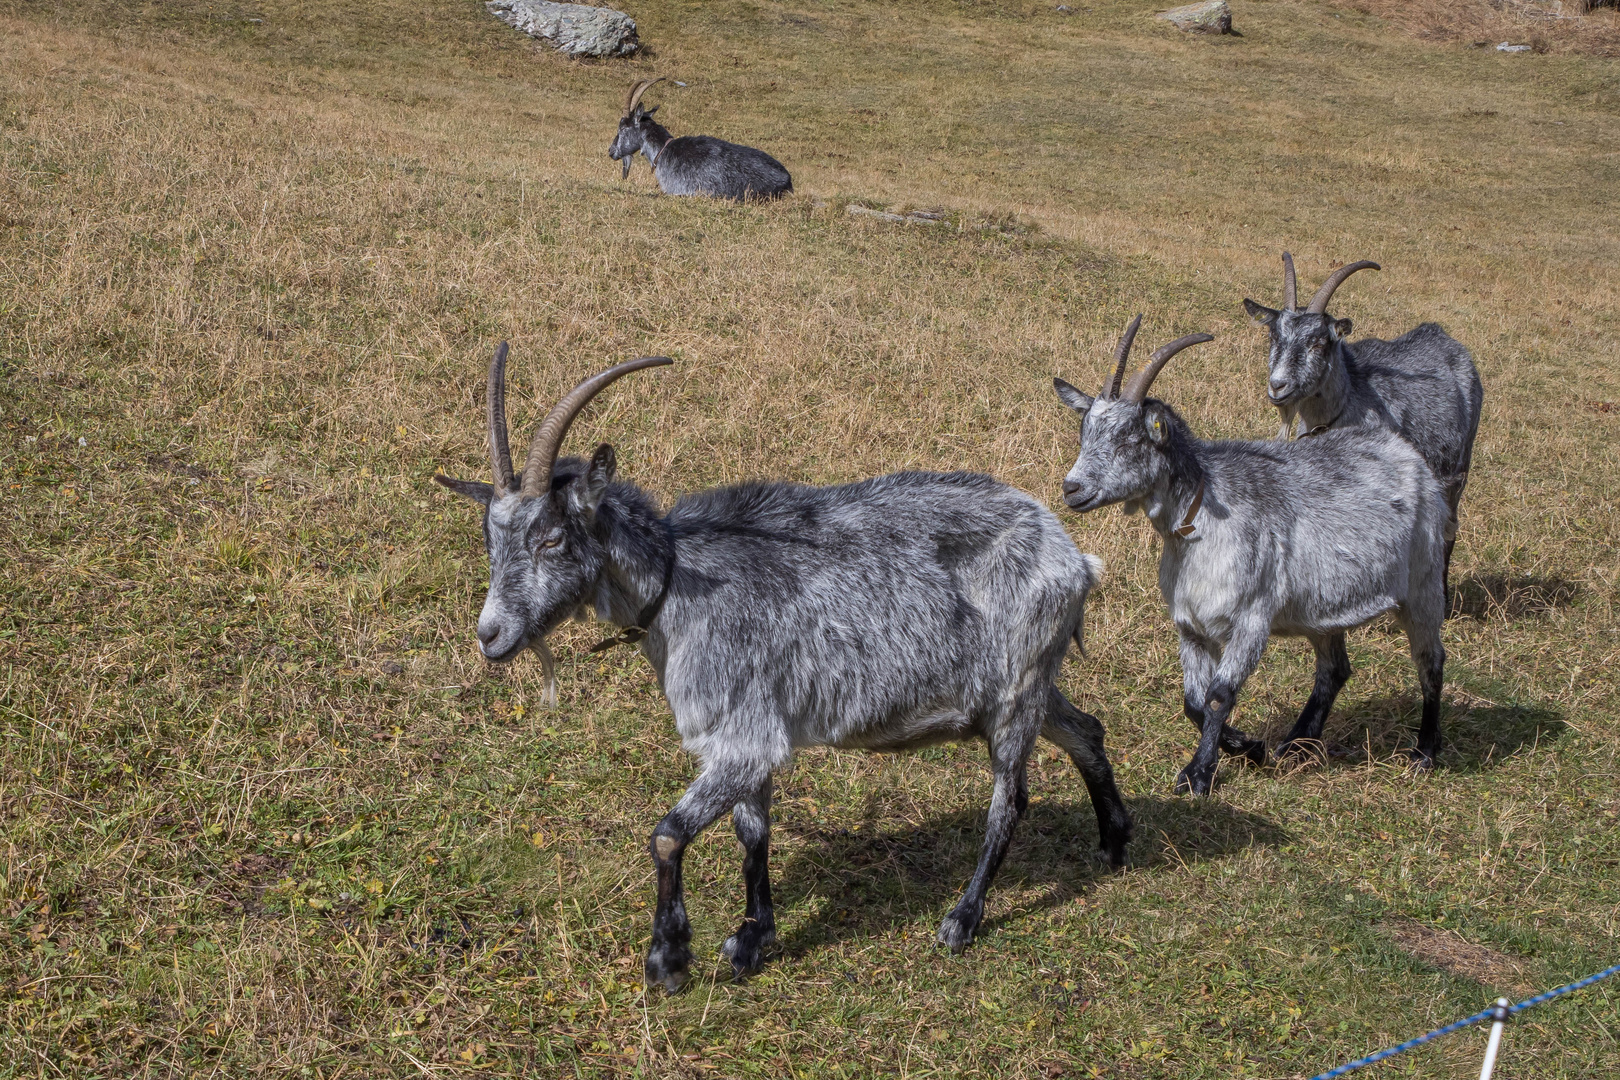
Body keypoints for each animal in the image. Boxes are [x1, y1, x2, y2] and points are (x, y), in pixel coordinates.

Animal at [1049, 314, 1458, 793]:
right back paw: (1295, 744)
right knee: (1334, 669)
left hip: (1423, 581)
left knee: (1430, 661)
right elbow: (1193, 702)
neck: (1203, 518)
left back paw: (1424, 752)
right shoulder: (1191, 625)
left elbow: (1218, 696)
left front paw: (1198, 775)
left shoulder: (1251, 619)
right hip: (1323, 609)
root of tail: (1407, 454)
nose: (1072, 488)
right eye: (1085, 433)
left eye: (1131, 440)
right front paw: (1251, 748)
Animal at [1244, 254, 1483, 579]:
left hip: (1457, 472)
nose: (1278, 386)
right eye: (1272, 336)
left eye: (1319, 342)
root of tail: (1442, 336)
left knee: (1447, 531)